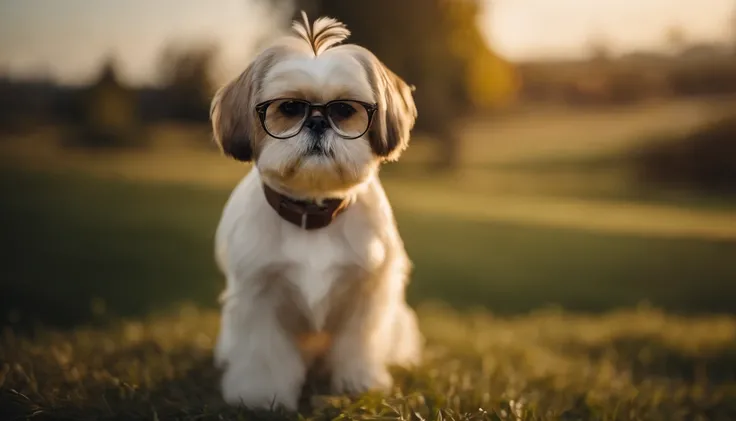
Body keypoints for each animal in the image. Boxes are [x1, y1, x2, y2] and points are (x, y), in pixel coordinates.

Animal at [210, 12, 422, 410]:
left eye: (344, 110)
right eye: (290, 109)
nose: (318, 121)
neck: (312, 213)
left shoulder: (367, 290)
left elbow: (358, 343)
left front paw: (359, 383)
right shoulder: (258, 292)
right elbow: (264, 350)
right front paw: (261, 394)